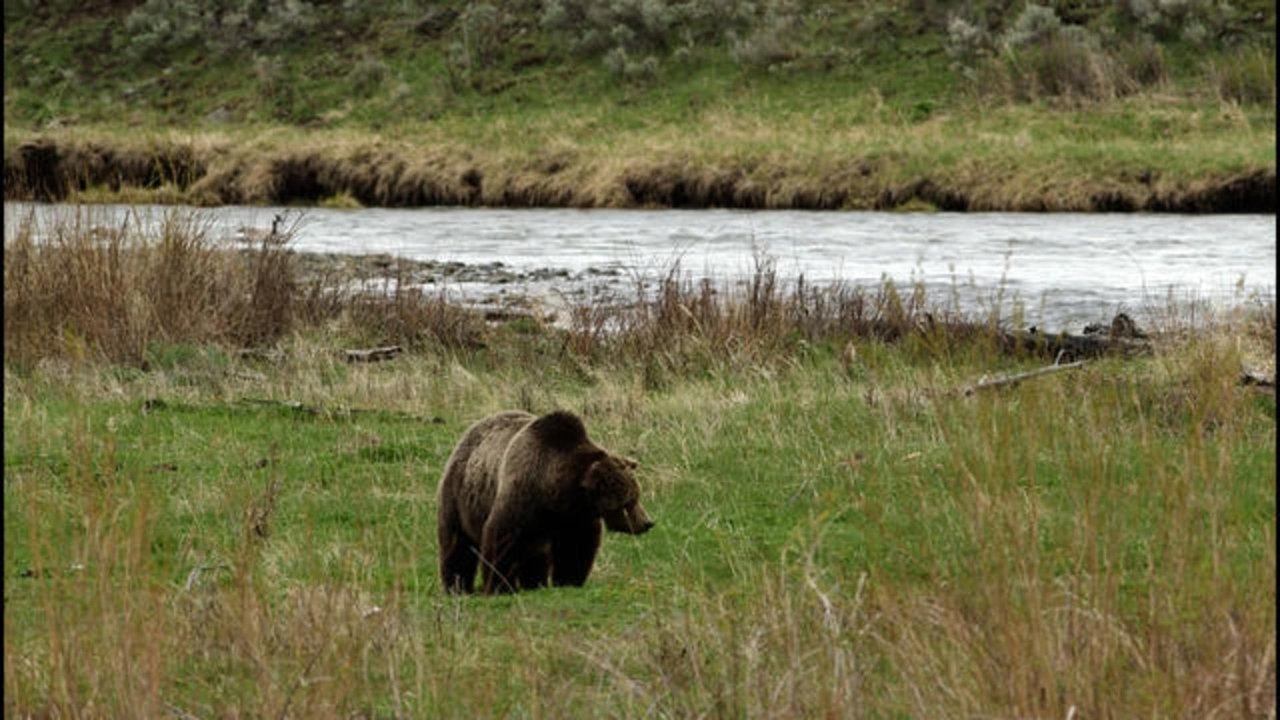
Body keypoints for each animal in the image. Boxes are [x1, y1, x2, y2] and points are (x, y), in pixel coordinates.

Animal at [440, 407, 655, 591]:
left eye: (636, 496)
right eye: (628, 502)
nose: (647, 522)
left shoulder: (577, 516)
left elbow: (576, 546)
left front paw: (569, 580)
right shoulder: (520, 494)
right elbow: (501, 539)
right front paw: (499, 585)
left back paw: (534, 583)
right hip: (460, 497)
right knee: (457, 543)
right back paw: (457, 586)